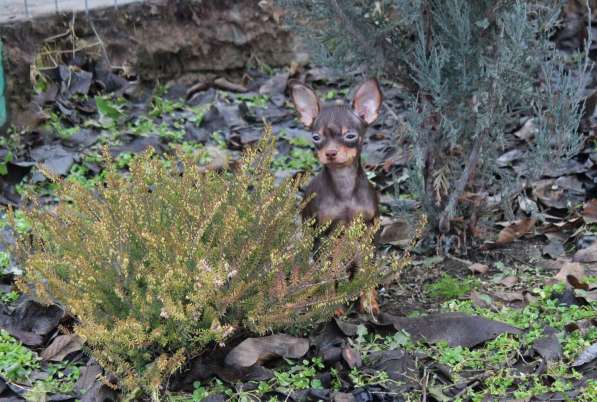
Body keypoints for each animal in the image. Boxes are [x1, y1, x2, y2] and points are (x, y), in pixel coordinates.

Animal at [288, 78, 382, 316]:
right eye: (316, 137)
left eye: (350, 136)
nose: (330, 152)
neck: (344, 187)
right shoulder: (323, 237)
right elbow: (327, 275)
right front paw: (330, 304)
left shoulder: (369, 233)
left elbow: (366, 271)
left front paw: (369, 301)